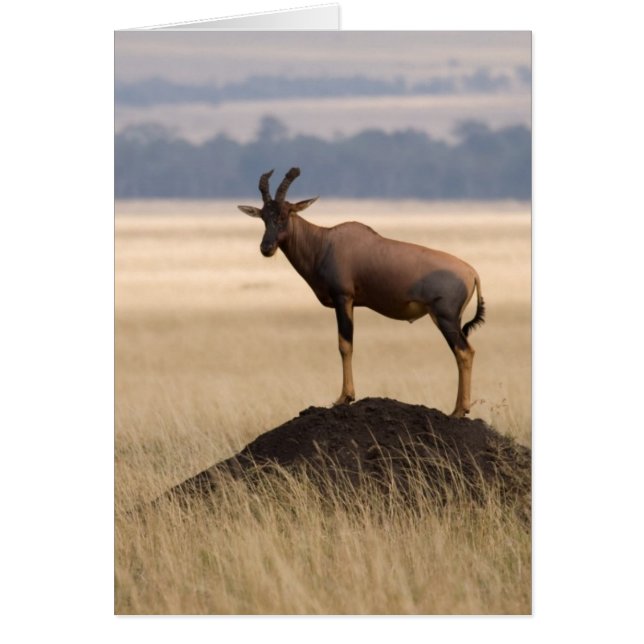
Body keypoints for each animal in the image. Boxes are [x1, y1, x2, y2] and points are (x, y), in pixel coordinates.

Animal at [238, 168, 485, 417]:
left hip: (445, 317)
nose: (266, 248)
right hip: (454, 319)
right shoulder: (351, 303)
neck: (325, 242)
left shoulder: (343, 298)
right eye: (263, 216)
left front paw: (344, 397)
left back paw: (459, 411)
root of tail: (471, 272)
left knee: (464, 352)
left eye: (285, 214)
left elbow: (345, 345)